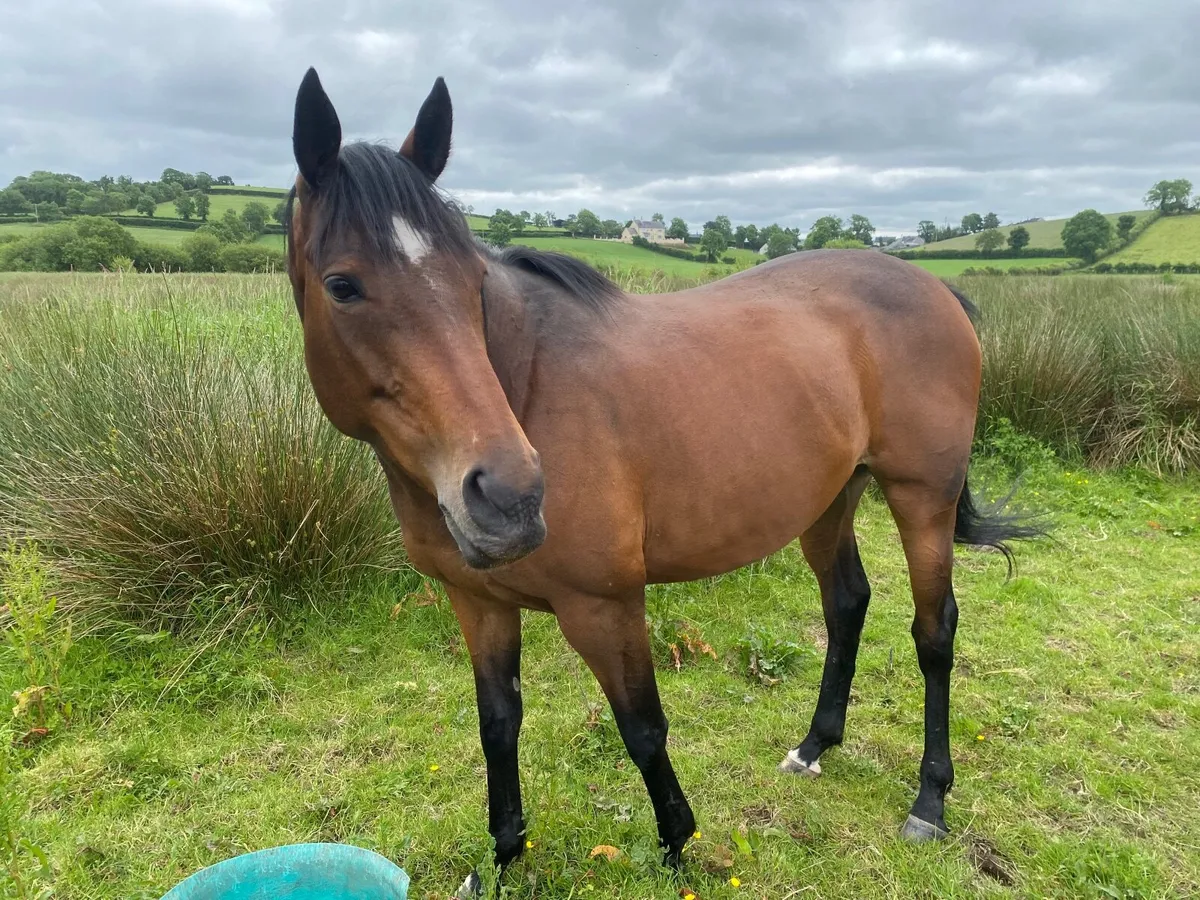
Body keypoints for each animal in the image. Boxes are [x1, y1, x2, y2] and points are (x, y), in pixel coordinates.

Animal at [284, 67, 1043, 894]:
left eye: (472, 278)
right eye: (342, 286)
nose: (510, 497)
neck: (525, 381)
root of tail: (935, 290)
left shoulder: (604, 605)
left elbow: (642, 727)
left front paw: (677, 845)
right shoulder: (477, 603)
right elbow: (497, 725)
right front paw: (506, 856)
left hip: (921, 498)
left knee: (934, 633)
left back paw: (929, 801)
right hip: (829, 500)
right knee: (847, 603)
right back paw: (814, 746)